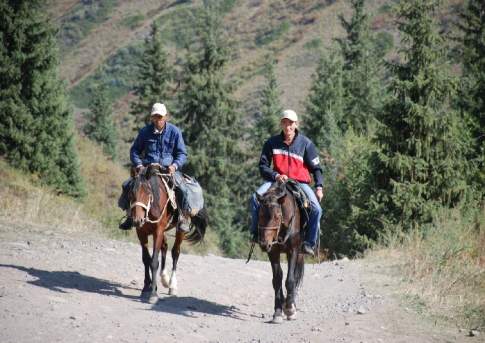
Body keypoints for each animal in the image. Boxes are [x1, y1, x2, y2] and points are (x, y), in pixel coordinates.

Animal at [129, 165, 206, 302]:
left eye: (148, 192)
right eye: (132, 193)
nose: (137, 220)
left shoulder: (158, 231)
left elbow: (154, 261)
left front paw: (153, 294)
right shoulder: (141, 233)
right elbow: (146, 259)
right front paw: (147, 288)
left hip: (180, 230)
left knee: (175, 252)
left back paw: (172, 285)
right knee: (164, 247)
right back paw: (164, 278)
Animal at [255, 183, 304, 326]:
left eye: (277, 216)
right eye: (260, 215)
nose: (264, 244)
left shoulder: (293, 251)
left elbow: (290, 279)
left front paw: (289, 309)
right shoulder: (273, 252)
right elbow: (277, 279)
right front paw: (277, 312)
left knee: (295, 277)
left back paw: (291, 305)